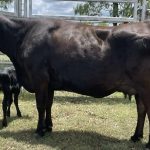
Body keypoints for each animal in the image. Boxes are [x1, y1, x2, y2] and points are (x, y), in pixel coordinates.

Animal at [0, 14, 150, 148]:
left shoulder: (39, 79)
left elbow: (40, 106)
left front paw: (39, 130)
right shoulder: (49, 84)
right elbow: (49, 104)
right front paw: (48, 127)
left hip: (145, 88)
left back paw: (146, 143)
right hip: (139, 90)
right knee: (141, 110)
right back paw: (136, 136)